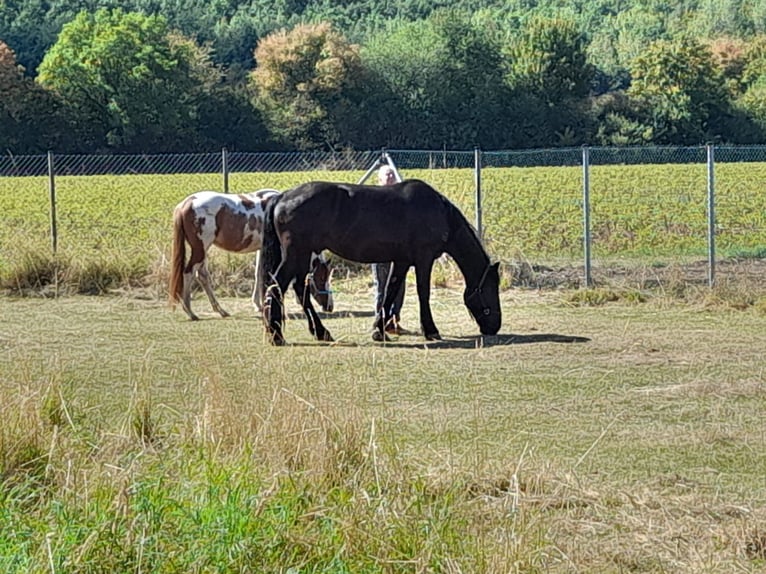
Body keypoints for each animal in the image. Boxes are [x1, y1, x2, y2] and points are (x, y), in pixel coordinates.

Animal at [169, 189, 333, 321]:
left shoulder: (262, 249)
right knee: (189, 273)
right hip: (200, 248)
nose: (330, 306)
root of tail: (185, 204)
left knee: (202, 276)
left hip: (203, 250)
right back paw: (190, 312)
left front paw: (258, 305)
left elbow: (259, 274)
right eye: (321, 278)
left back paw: (221, 311)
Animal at [260, 179, 501, 345]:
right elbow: (423, 292)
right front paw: (430, 330)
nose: (495, 326)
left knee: (299, 288)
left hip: (302, 255)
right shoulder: (423, 259)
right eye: (490, 288)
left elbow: (390, 291)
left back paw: (320, 332)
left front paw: (379, 330)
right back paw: (277, 335)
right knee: (277, 285)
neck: (440, 213)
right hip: (296, 253)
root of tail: (283, 196)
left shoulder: (402, 261)